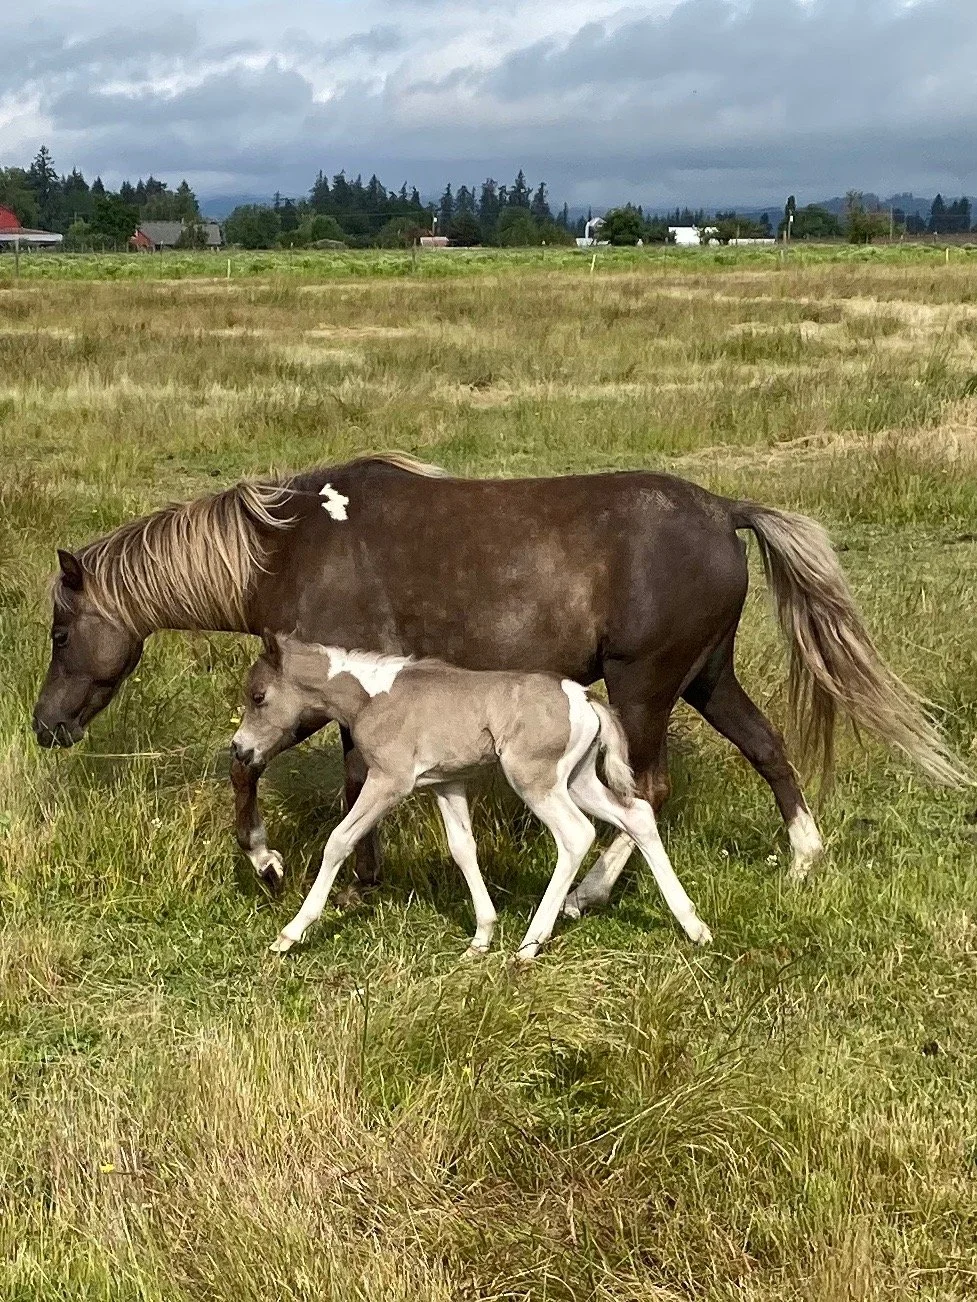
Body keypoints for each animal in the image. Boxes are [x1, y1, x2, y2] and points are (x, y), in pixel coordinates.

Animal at [33, 453, 967, 907]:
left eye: (59, 631)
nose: (46, 726)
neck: (290, 547)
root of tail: (722, 510)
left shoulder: (312, 693)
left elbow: (260, 770)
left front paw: (272, 866)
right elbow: (345, 782)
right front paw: (363, 879)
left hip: (643, 686)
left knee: (646, 794)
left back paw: (588, 891)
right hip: (706, 677)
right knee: (767, 749)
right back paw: (801, 859)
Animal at [231, 634, 711, 960]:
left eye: (258, 696)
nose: (240, 749)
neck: (373, 696)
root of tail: (584, 698)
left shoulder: (389, 781)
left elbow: (338, 841)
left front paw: (290, 933)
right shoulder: (446, 783)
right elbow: (463, 848)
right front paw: (482, 936)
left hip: (535, 780)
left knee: (576, 834)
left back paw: (530, 944)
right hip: (577, 780)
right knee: (638, 814)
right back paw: (695, 926)